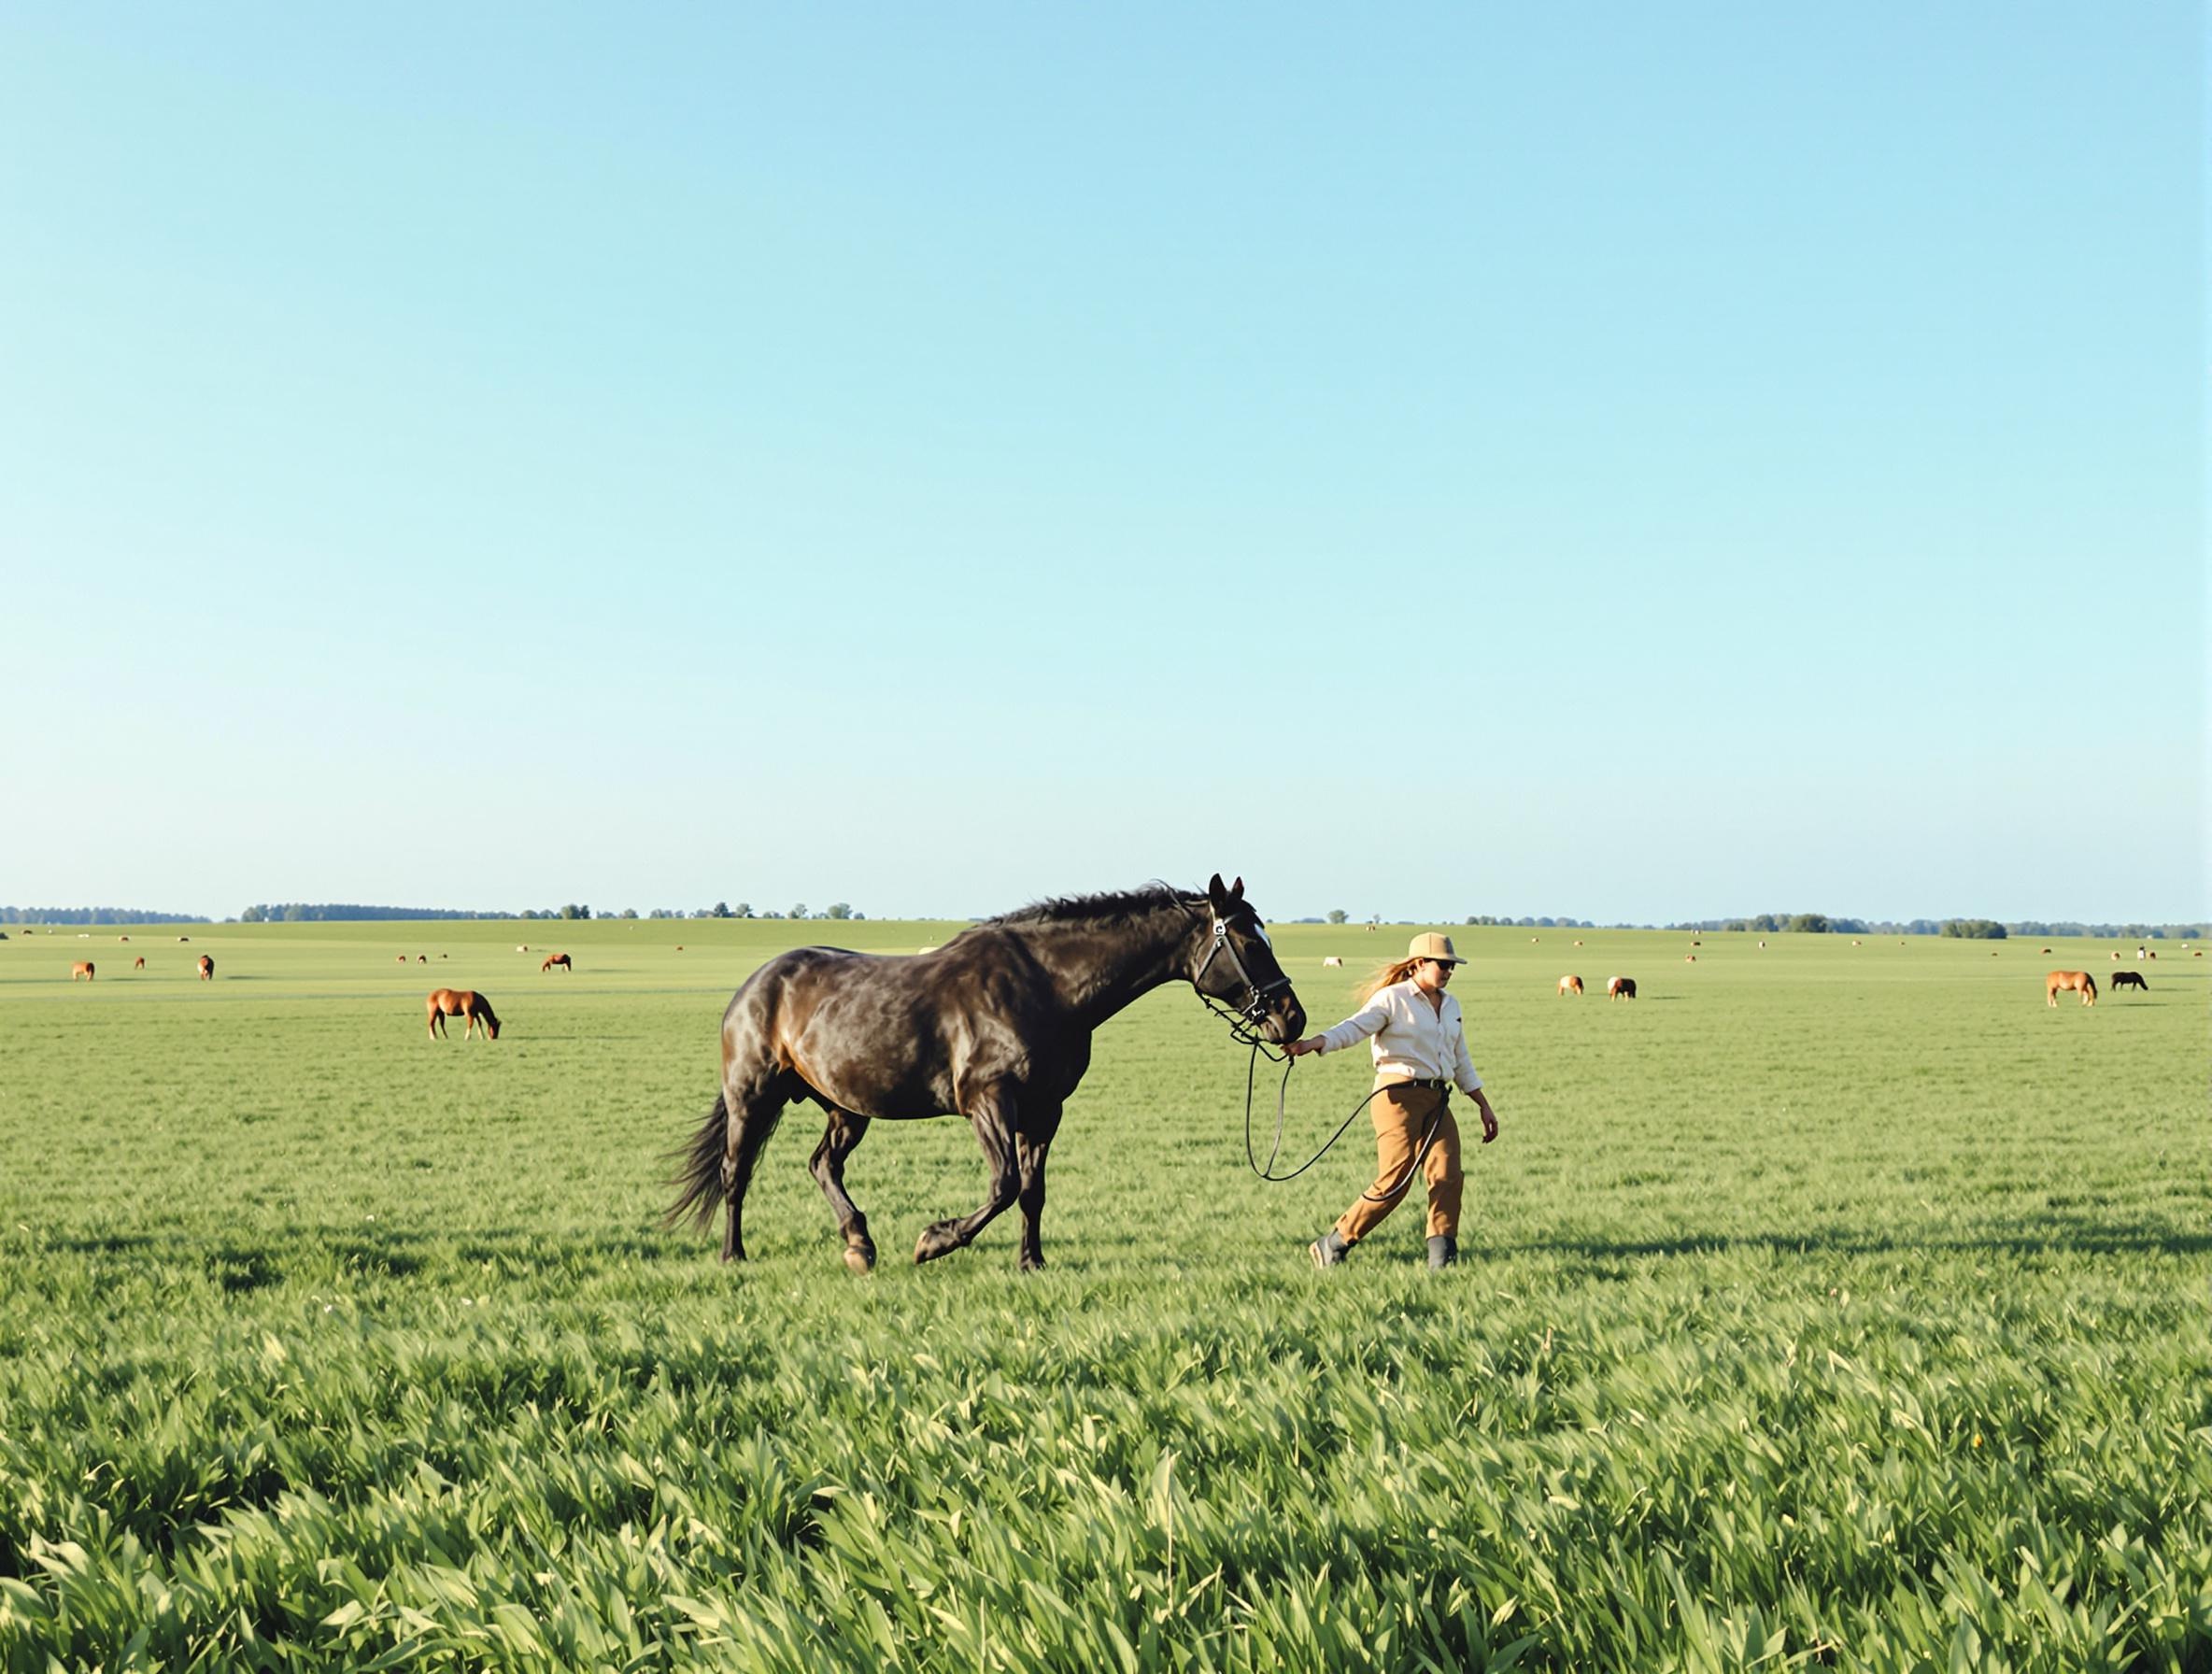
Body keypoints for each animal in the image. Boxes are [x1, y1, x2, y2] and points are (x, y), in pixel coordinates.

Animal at [663, 875, 1300, 1265]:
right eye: (1248, 941)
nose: (1291, 1016)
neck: (1045, 987)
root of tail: (756, 983)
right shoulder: (988, 1101)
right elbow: (1005, 1184)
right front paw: (934, 1241)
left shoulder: (1044, 1110)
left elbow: (1033, 1191)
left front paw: (1031, 1261)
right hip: (752, 1097)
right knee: (735, 1173)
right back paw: (734, 1253)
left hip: (846, 1108)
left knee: (823, 1165)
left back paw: (859, 1243)